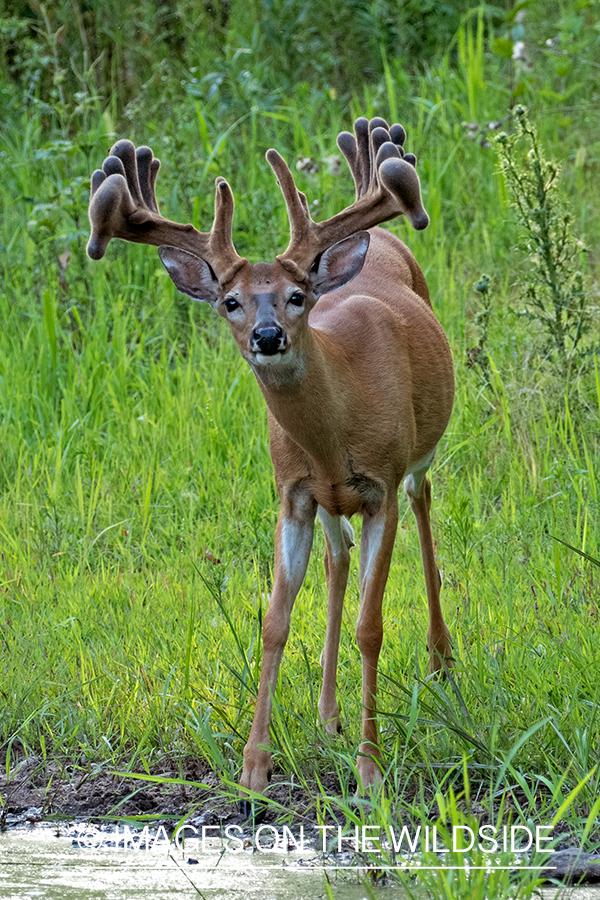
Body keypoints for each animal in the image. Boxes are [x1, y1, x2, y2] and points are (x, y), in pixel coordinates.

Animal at [88, 116, 454, 812]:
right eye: (230, 300)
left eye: (295, 295)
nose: (267, 336)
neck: (335, 431)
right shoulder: (294, 494)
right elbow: (275, 621)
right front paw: (253, 773)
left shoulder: (380, 486)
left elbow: (371, 624)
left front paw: (370, 772)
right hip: (331, 504)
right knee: (338, 561)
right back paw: (327, 714)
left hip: (418, 460)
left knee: (424, 509)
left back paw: (442, 662)